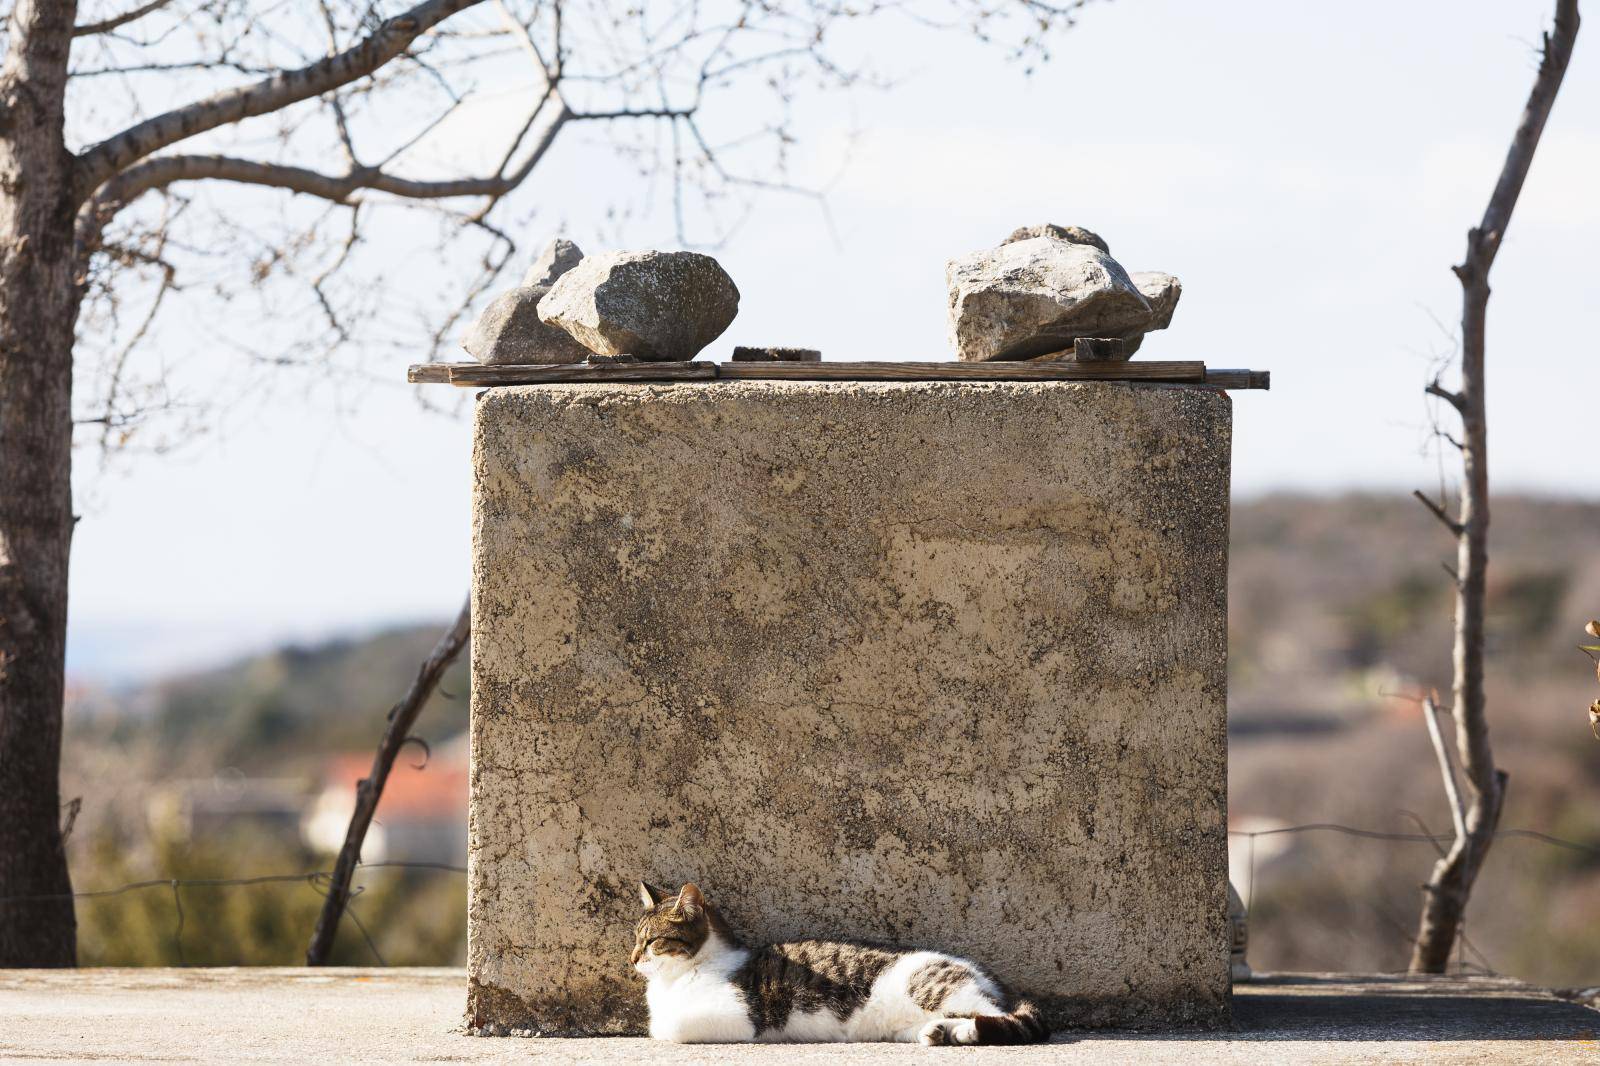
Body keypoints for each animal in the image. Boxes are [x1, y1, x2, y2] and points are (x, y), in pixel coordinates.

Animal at [630, 877, 1056, 1043]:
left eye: (652, 941)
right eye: (634, 938)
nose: (633, 959)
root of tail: (984, 974)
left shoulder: (736, 1014)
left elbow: (668, 1026)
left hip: (934, 987)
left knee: (1000, 1015)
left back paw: (966, 1030)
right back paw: (939, 1032)